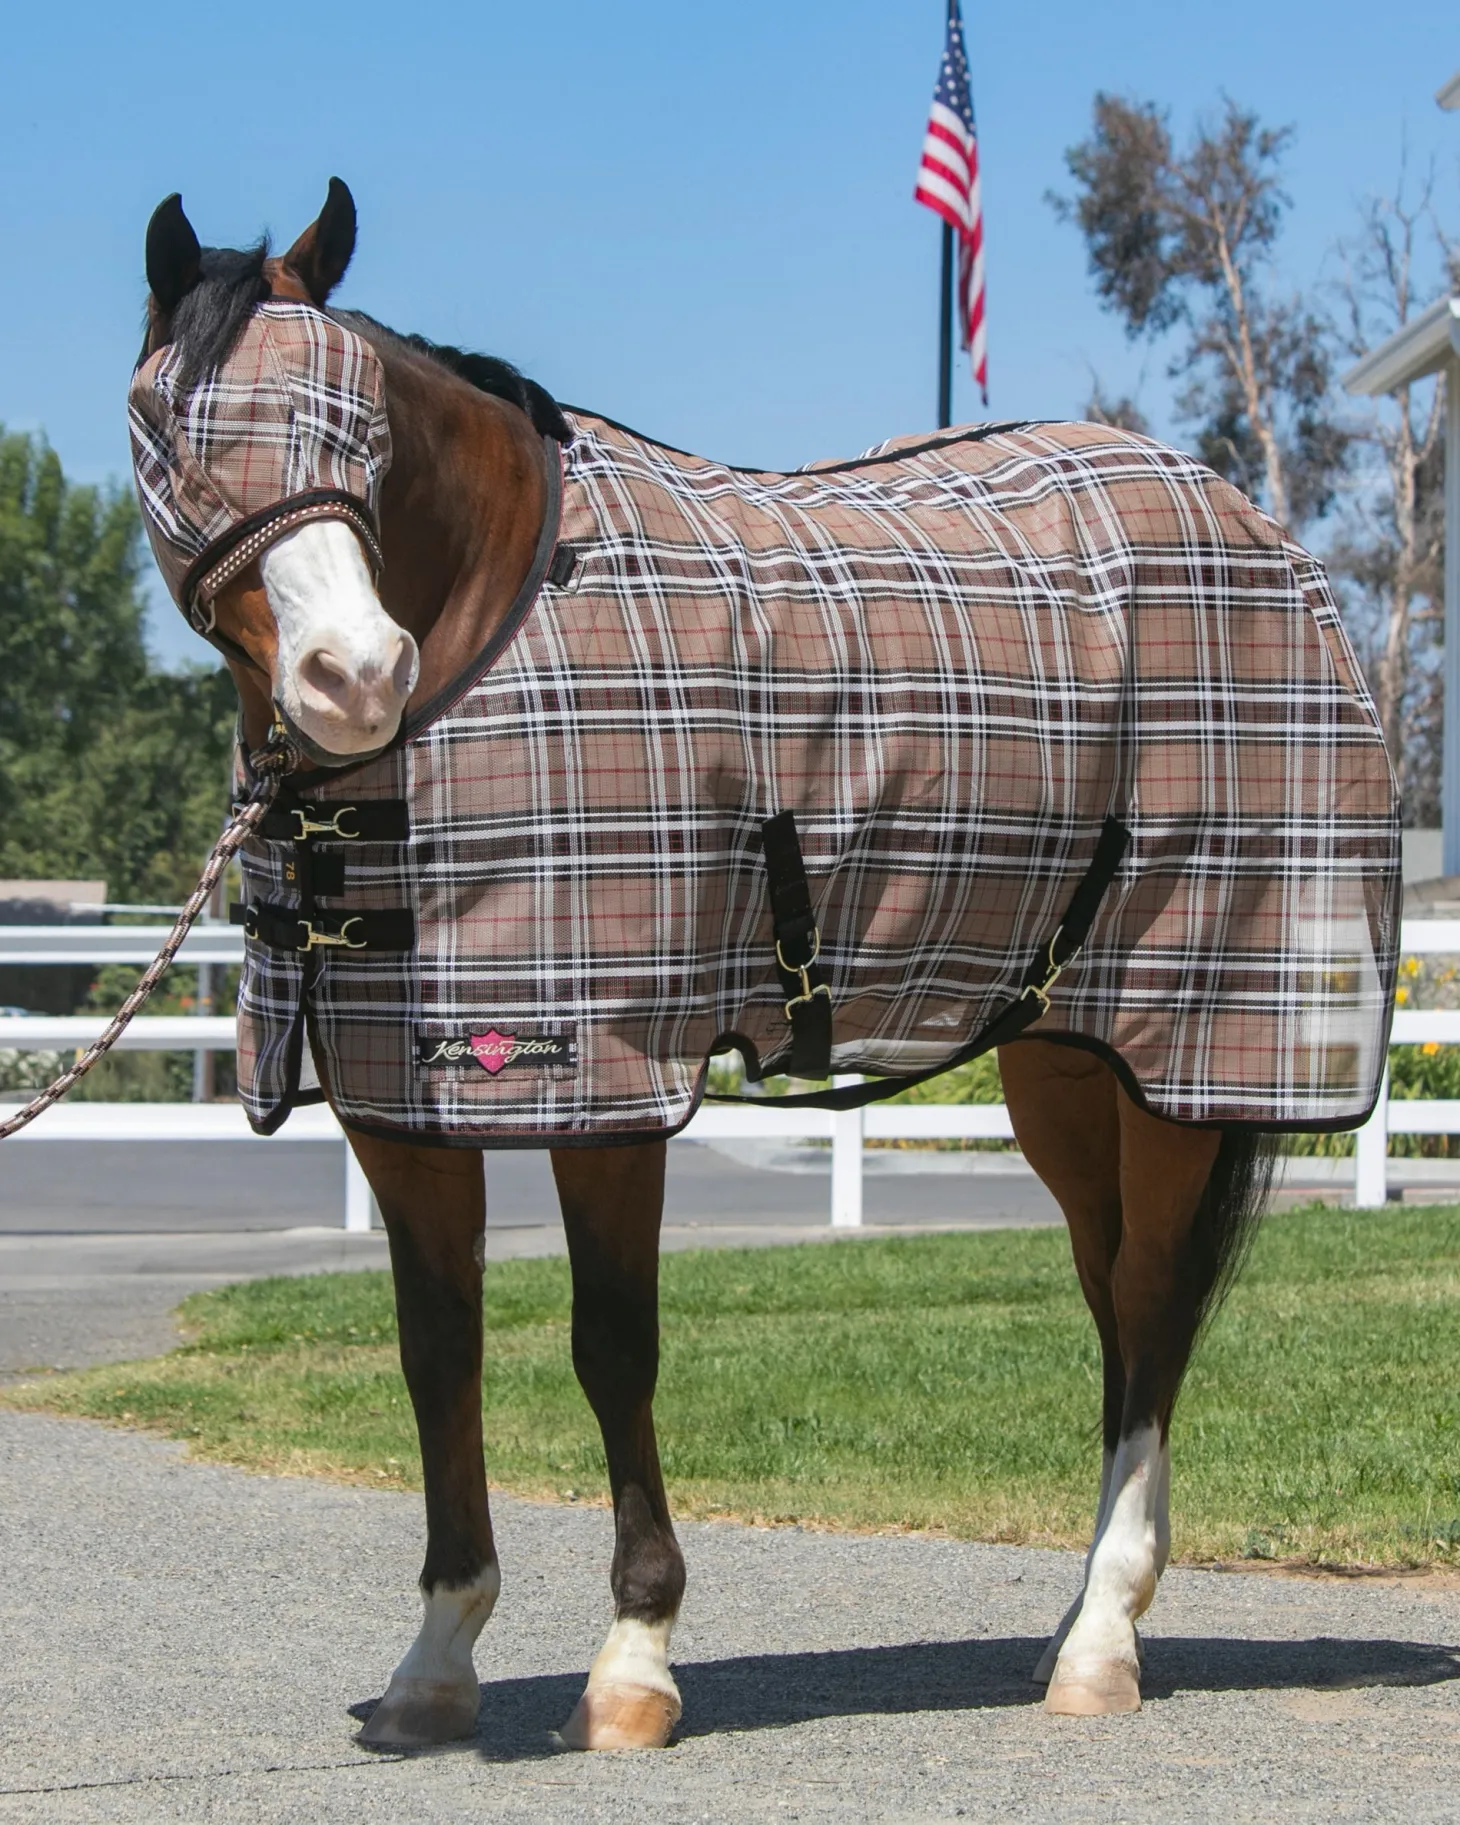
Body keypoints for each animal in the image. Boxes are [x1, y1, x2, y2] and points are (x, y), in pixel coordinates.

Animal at [129, 180, 1399, 1749]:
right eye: (168, 429)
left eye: (361, 429)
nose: (353, 674)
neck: (499, 631)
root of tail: (1253, 528)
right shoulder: (399, 1102)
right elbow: (440, 1356)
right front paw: (436, 1661)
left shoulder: (606, 1084)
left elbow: (612, 1347)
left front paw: (633, 1662)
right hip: (1065, 1060)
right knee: (1113, 1303)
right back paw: (1084, 1614)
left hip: (1188, 1054)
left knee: (1155, 1309)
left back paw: (1100, 1643)